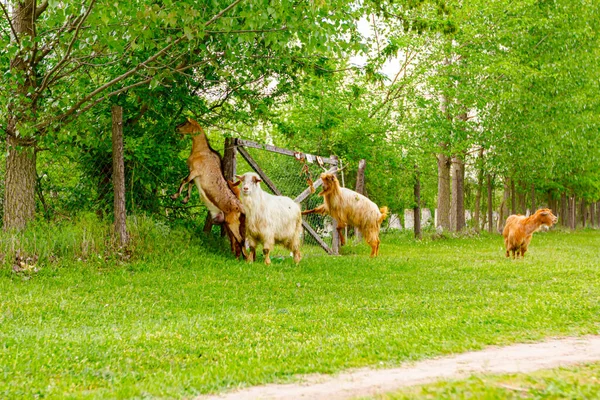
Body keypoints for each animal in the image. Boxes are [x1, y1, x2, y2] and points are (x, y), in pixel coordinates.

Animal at [171, 118, 246, 260]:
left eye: (185, 122)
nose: (176, 128)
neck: (201, 150)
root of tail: (241, 208)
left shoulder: (195, 171)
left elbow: (183, 181)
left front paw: (175, 196)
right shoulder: (194, 176)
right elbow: (189, 184)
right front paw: (185, 199)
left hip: (232, 224)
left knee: (240, 241)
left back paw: (245, 260)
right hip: (228, 225)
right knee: (236, 241)